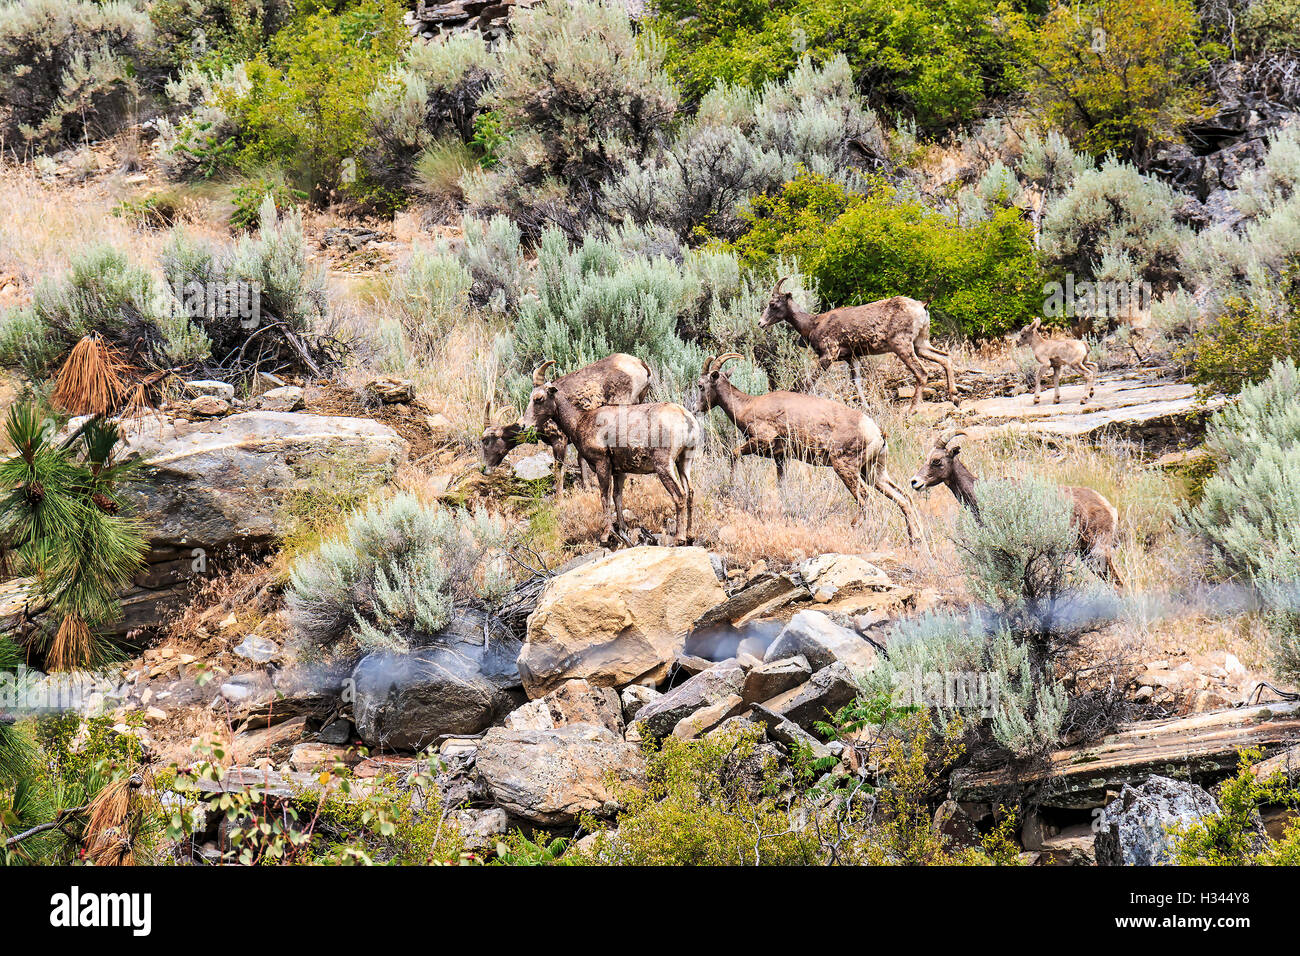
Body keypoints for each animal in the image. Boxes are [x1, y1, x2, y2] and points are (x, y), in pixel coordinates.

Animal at [480, 353, 650, 495]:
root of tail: (641, 365)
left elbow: (559, 470)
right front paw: (587, 487)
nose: (485, 470)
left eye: (486, 440)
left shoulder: (559, 440)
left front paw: (559, 498)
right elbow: (581, 460)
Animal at [522, 367, 700, 545]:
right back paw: (690, 535)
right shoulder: (619, 471)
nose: (523, 425)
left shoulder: (602, 463)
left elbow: (604, 496)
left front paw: (605, 535)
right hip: (684, 461)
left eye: (538, 398)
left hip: (664, 465)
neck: (580, 421)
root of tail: (686, 418)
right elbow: (617, 497)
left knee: (680, 495)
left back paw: (679, 538)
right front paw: (623, 528)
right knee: (690, 492)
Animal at [692, 353, 921, 545]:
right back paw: (914, 540)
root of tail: (876, 432)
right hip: (874, 472)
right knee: (904, 498)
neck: (747, 406)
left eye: (701, 385)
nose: (695, 408)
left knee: (865, 498)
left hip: (846, 468)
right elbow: (781, 485)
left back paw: (855, 528)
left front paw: (730, 486)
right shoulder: (781, 458)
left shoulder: (761, 442)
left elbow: (733, 455)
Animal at [759, 277, 955, 412]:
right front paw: (866, 407)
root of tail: (922, 306)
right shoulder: (852, 357)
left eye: (773, 304)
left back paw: (912, 410)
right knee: (945, 358)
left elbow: (808, 381)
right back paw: (953, 395)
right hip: (920, 343)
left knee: (922, 372)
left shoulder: (828, 355)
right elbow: (857, 383)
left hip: (902, 346)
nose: (761, 323)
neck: (812, 325)